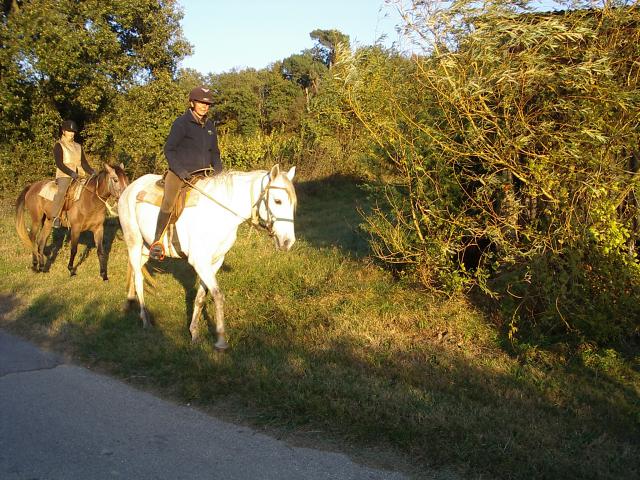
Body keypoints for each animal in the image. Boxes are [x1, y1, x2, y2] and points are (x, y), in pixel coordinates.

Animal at [118, 165, 298, 348]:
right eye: (278, 201)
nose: (288, 242)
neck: (218, 214)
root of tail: (129, 189)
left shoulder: (215, 262)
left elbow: (200, 297)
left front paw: (194, 332)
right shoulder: (200, 261)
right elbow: (218, 295)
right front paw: (221, 340)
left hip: (145, 248)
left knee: (135, 270)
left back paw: (130, 301)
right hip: (134, 241)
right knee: (138, 279)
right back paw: (145, 319)